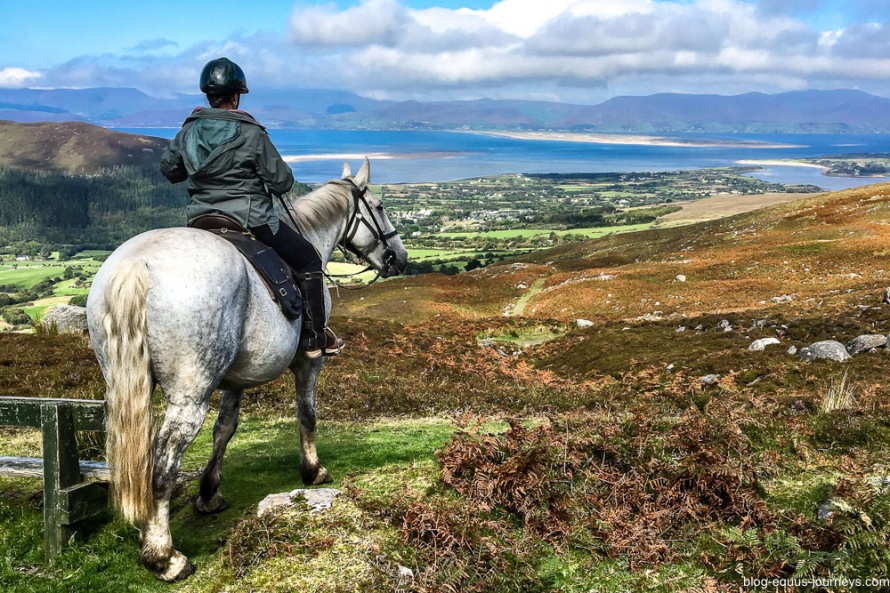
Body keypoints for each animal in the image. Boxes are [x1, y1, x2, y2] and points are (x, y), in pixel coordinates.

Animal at [86, 158, 406, 584]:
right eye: (381, 207)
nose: (399, 258)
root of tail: (137, 265)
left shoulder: (234, 381)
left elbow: (225, 429)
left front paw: (209, 493)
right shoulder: (309, 363)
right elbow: (307, 415)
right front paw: (313, 470)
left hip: (123, 385)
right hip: (189, 397)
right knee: (161, 468)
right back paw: (165, 558)